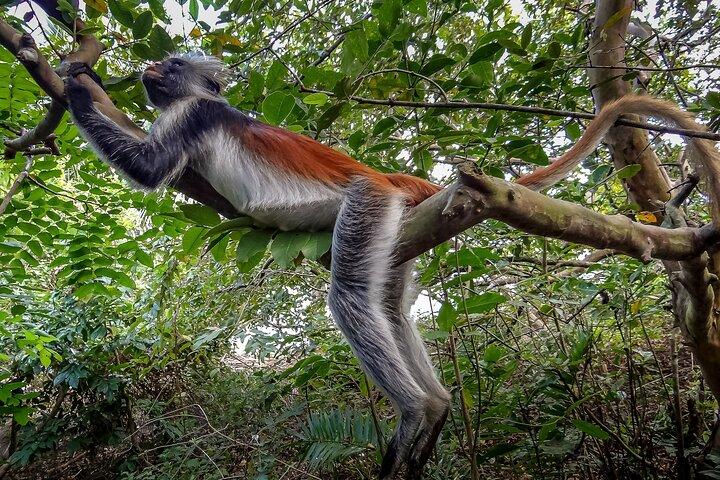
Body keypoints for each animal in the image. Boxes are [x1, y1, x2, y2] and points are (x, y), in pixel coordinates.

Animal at [64, 52, 720, 479]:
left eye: (171, 64)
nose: (150, 70)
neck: (204, 101)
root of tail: (387, 176)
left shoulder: (192, 115)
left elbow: (150, 168)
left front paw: (78, 83)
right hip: (398, 227)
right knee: (388, 306)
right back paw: (438, 409)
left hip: (369, 203)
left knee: (353, 294)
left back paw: (417, 410)